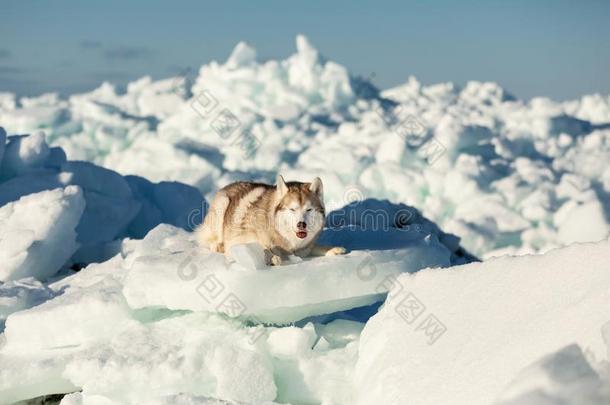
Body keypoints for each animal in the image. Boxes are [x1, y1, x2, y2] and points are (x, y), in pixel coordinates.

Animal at [197, 174, 344, 266]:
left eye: (309, 209)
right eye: (292, 209)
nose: (301, 224)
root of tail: (229, 185)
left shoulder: (304, 249)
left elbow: (316, 247)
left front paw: (334, 249)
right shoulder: (236, 241)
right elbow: (264, 249)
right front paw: (272, 257)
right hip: (222, 204)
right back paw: (218, 246)